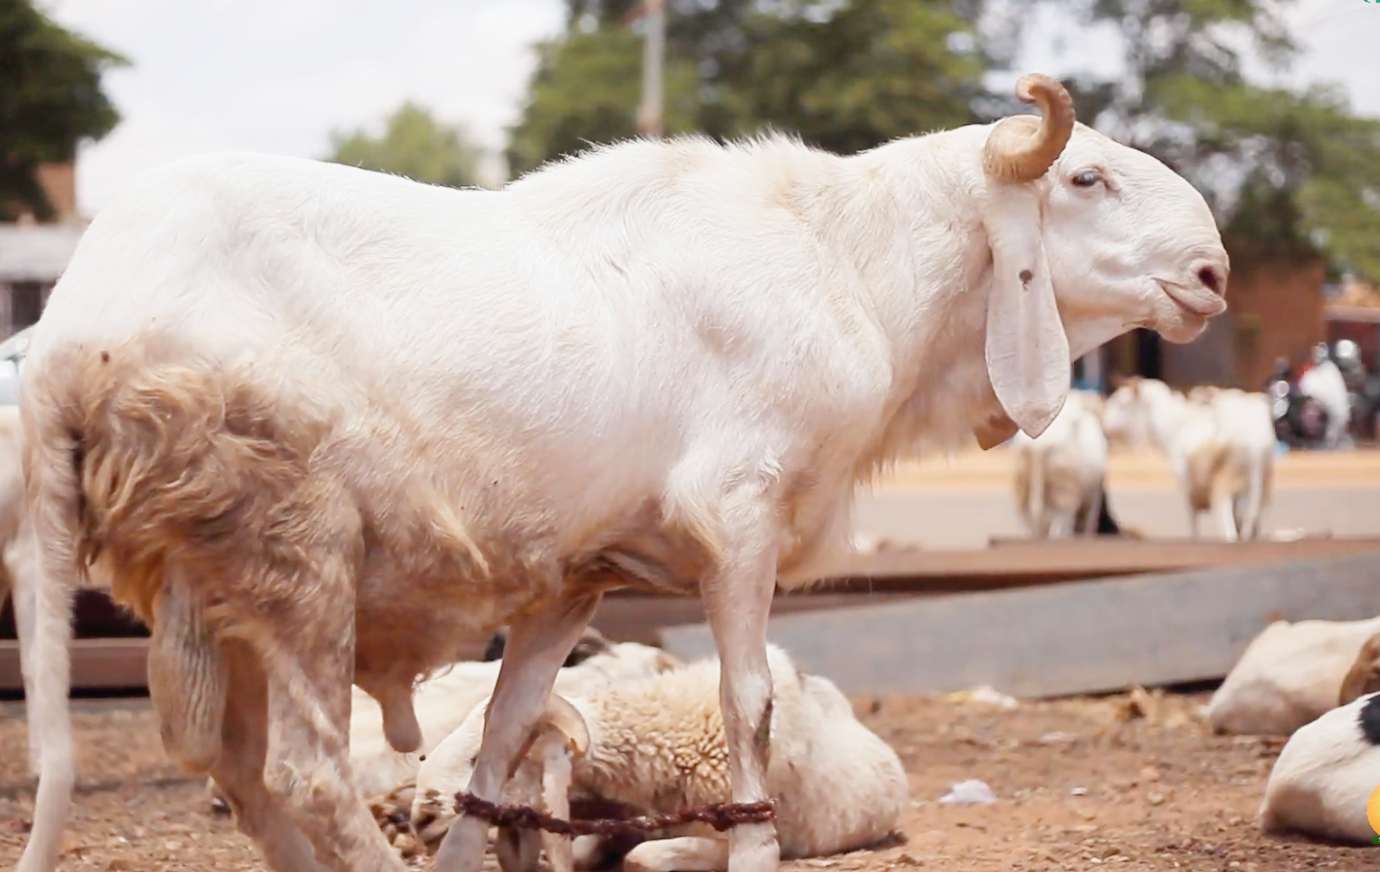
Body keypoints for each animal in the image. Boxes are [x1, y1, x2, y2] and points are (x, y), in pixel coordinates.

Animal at [1101, 378, 1272, 540]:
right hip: (1256, 494)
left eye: (1122, 403)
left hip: (1224, 489)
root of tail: (1256, 445)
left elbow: (1193, 527)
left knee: (1229, 533)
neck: (1176, 428)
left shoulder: (1187, 488)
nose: (1105, 424)